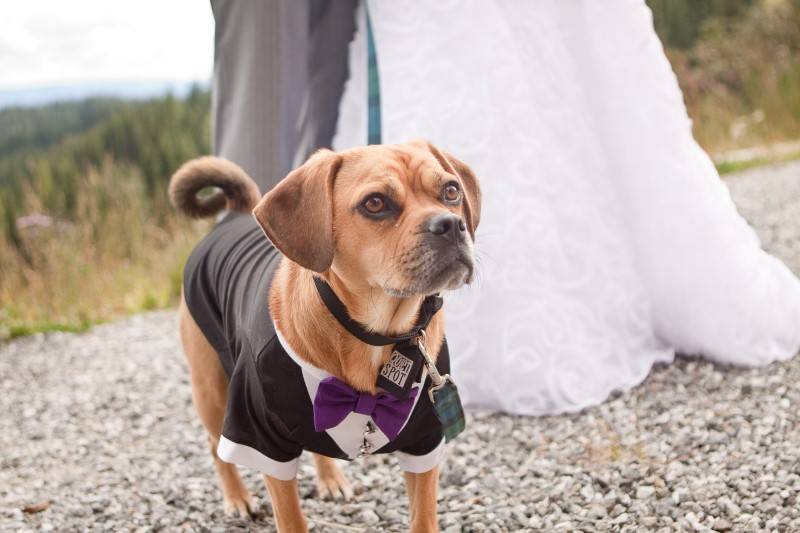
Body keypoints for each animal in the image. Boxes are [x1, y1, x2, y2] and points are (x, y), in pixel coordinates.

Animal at [170, 141, 482, 532]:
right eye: (375, 203)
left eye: (451, 191)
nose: (452, 225)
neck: (375, 334)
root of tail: (236, 215)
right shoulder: (261, 439)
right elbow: (290, 518)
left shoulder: (425, 441)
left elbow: (423, 517)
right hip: (211, 392)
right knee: (216, 448)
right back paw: (237, 498)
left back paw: (330, 480)